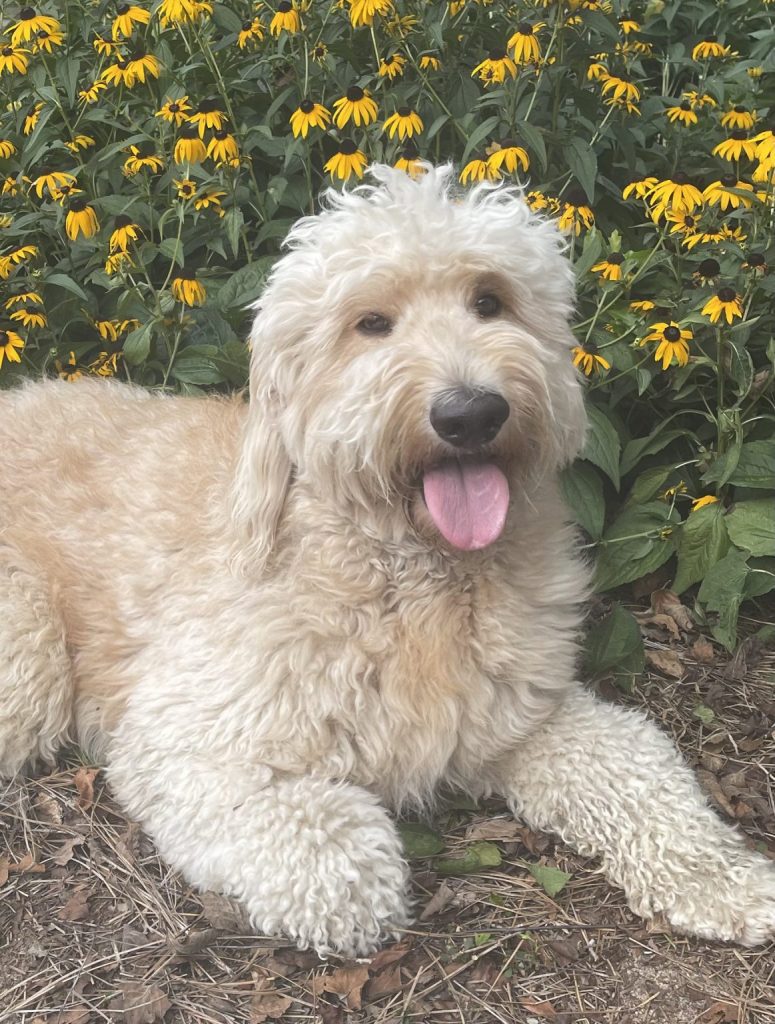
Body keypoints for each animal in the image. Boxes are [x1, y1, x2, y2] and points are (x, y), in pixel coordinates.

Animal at [1, 163, 773, 954]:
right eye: (370, 323)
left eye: (489, 301)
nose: (471, 413)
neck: (405, 572)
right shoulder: (189, 737)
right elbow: (334, 852)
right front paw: (353, 890)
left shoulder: (527, 716)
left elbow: (639, 770)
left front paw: (721, 879)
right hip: (27, 651)